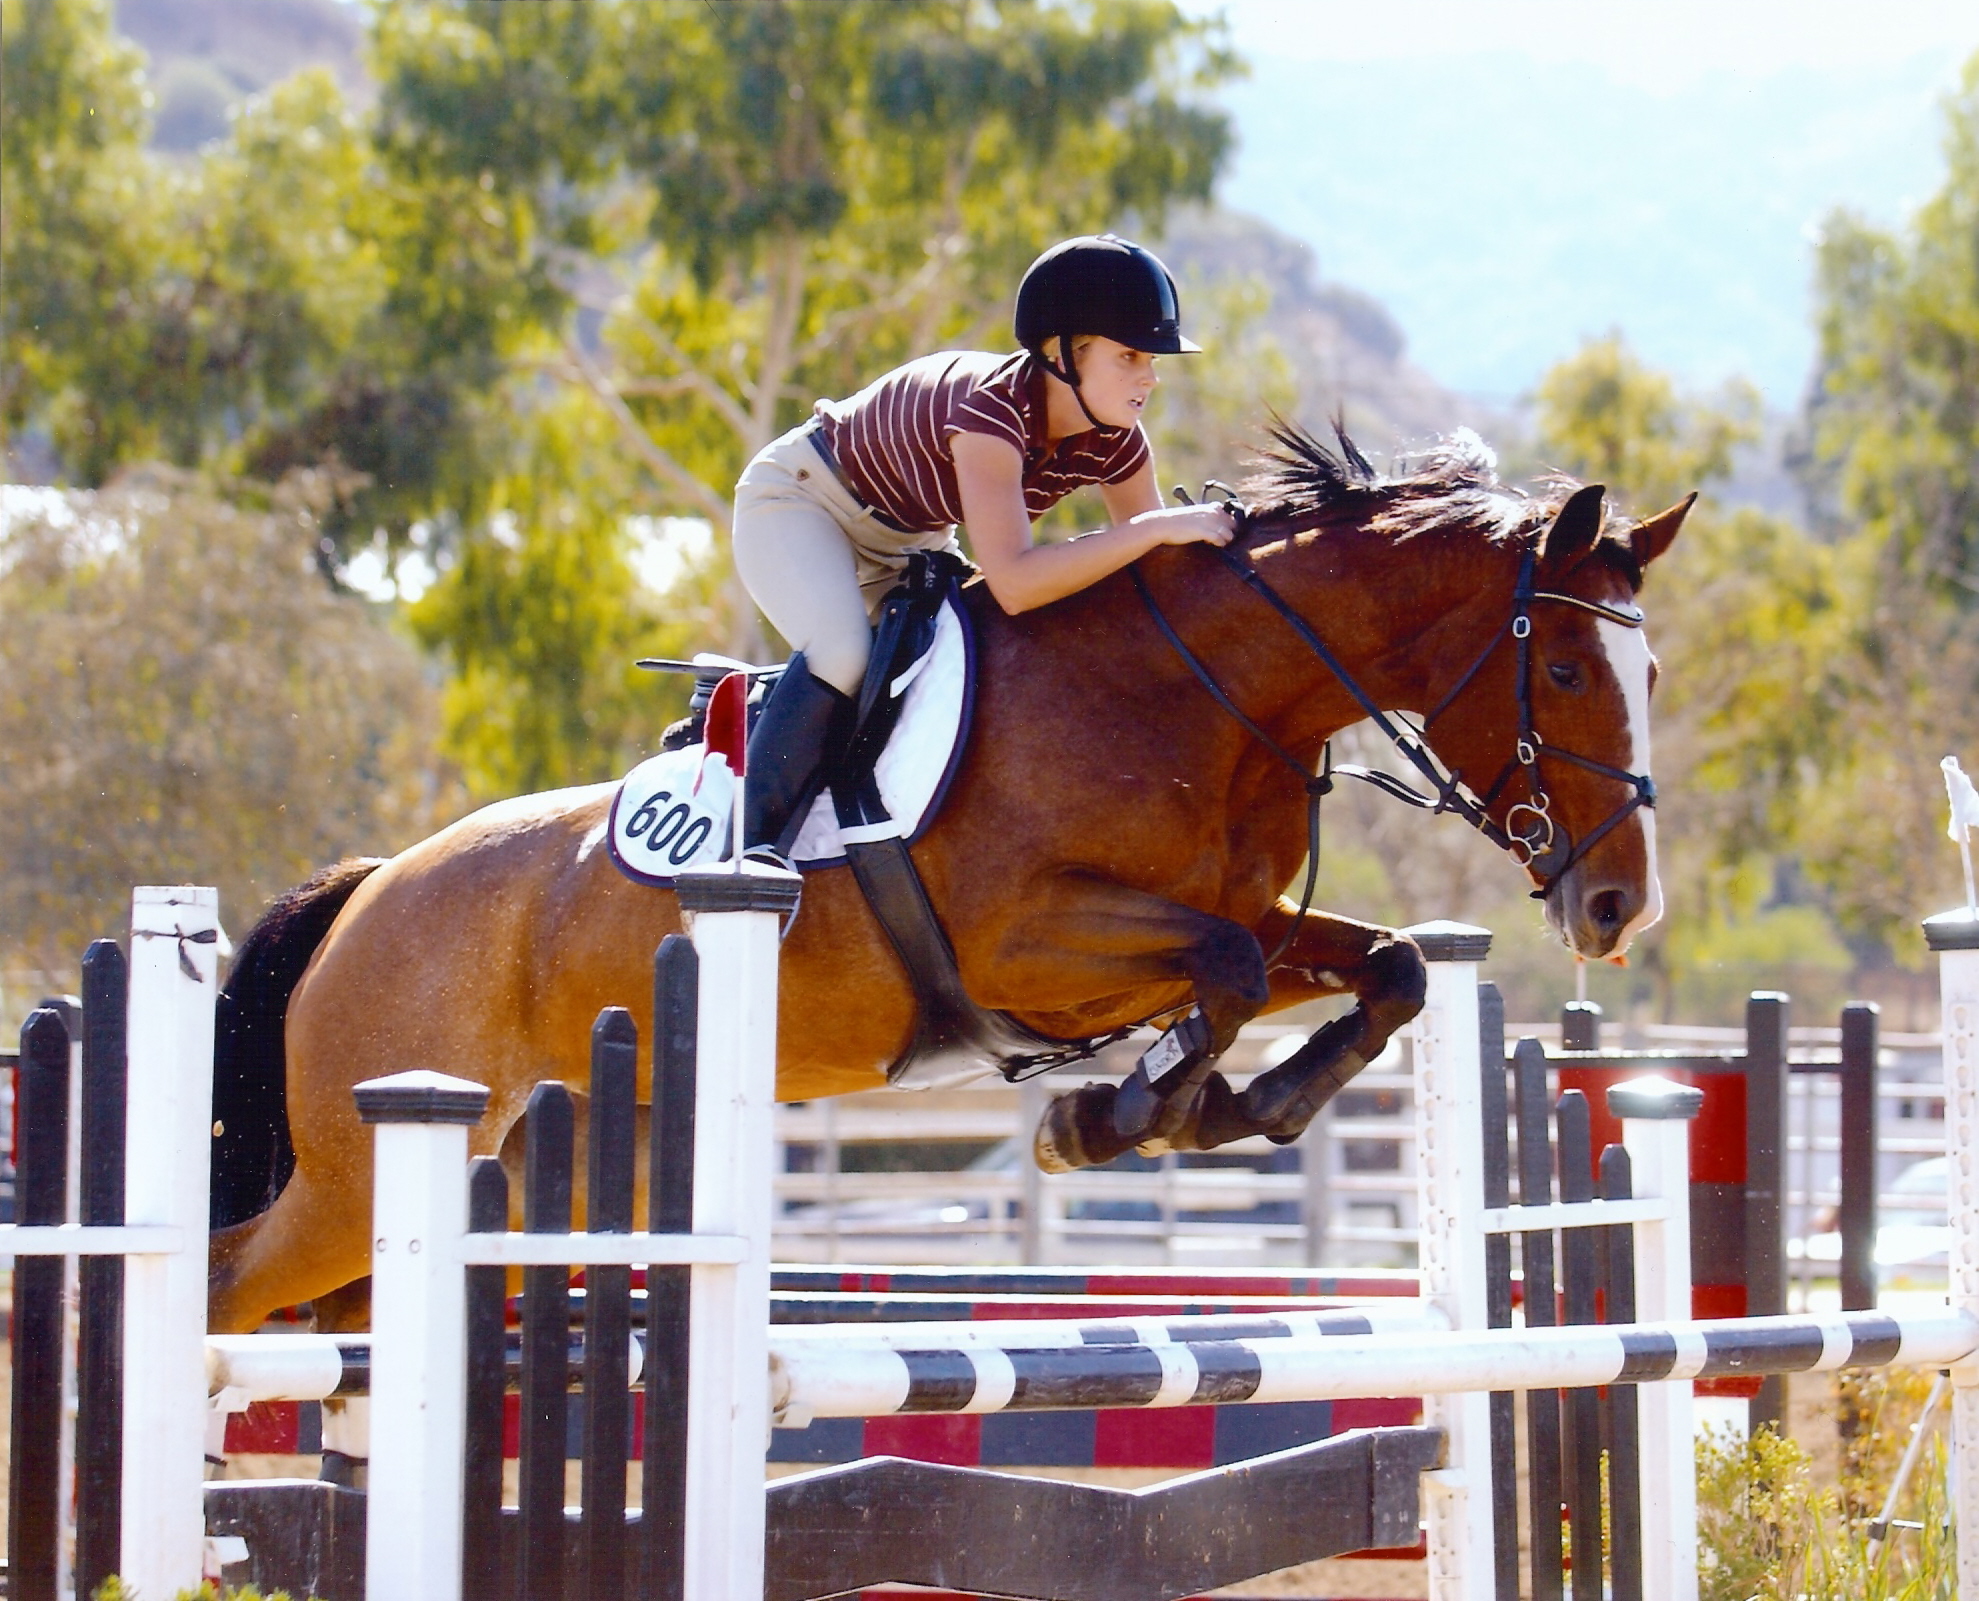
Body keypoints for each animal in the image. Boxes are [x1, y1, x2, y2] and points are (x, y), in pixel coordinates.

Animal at [204, 421, 1686, 1321]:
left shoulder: (1240, 917)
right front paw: (1110, 1116)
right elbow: (1221, 970)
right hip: (358, 1171)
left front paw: (1223, 1107)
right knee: (230, 1290)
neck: (1198, 694)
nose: (1619, 907)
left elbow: (1377, 967)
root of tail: (373, 885)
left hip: (528, 1170)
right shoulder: (1029, 942)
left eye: (1649, 670)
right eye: (1563, 669)